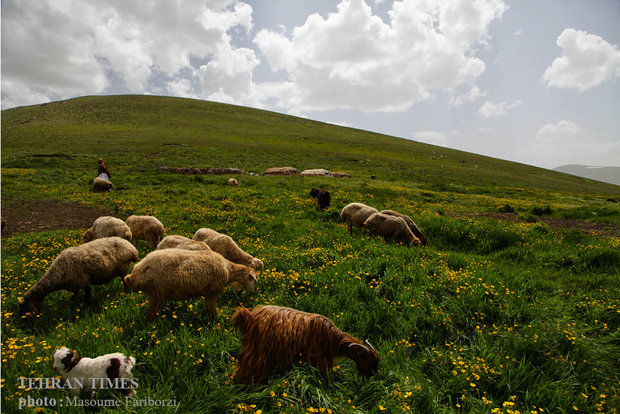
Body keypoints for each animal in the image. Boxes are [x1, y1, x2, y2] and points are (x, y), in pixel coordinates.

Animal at [122, 247, 258, 322]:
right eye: (254, 280)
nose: (254, 294)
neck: (228, 270)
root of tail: (137, 272)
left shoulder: (207, 294)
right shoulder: (212, 292)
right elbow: (213, 312)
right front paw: (214, 324)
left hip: (157, 294)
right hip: (156, 292)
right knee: (149, 317)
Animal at [231, 304, 378, 384]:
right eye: (368, 361)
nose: (372, 377)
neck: (332, 339)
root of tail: (249, 316)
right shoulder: (317, 357)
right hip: (256, 350)